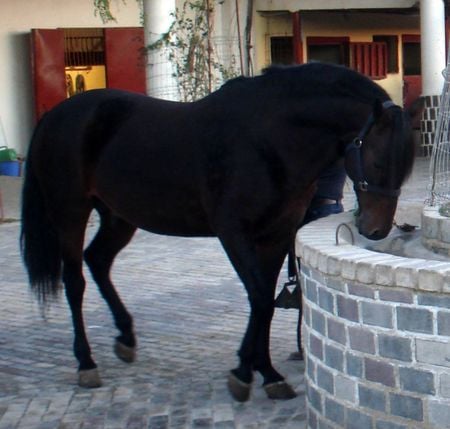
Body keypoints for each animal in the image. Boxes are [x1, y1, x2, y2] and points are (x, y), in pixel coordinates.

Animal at [21, 63, 422, 402]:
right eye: (378, 161)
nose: (375, 229)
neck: (269, 139)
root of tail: (55, 115)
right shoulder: (234, 233)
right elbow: (260, 298)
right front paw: (246, 372)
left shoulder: (276, 234)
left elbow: (264, 302)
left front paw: (265, 372)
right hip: (70, 213)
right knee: (75, 281)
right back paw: (86, 362)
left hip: (119, 216)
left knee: (98, 261)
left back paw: (126, 337)